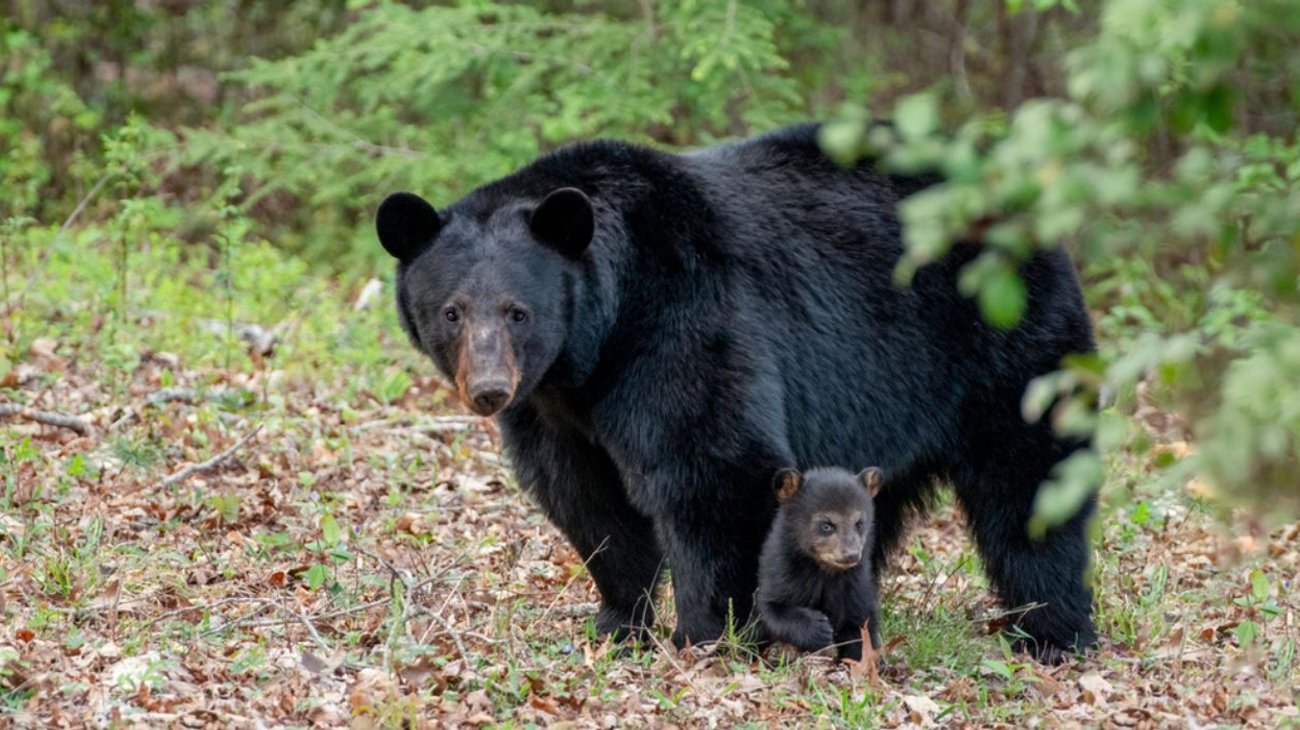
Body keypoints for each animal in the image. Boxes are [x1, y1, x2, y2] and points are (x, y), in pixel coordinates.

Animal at [757, 466, 884, 663]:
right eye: (827, 525)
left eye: (859, 523)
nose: (851, 555)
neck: (824, 571)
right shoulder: (781, 572)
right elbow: (770, 608)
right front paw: (818, 629)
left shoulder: (856, 585)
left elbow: (861, 625)